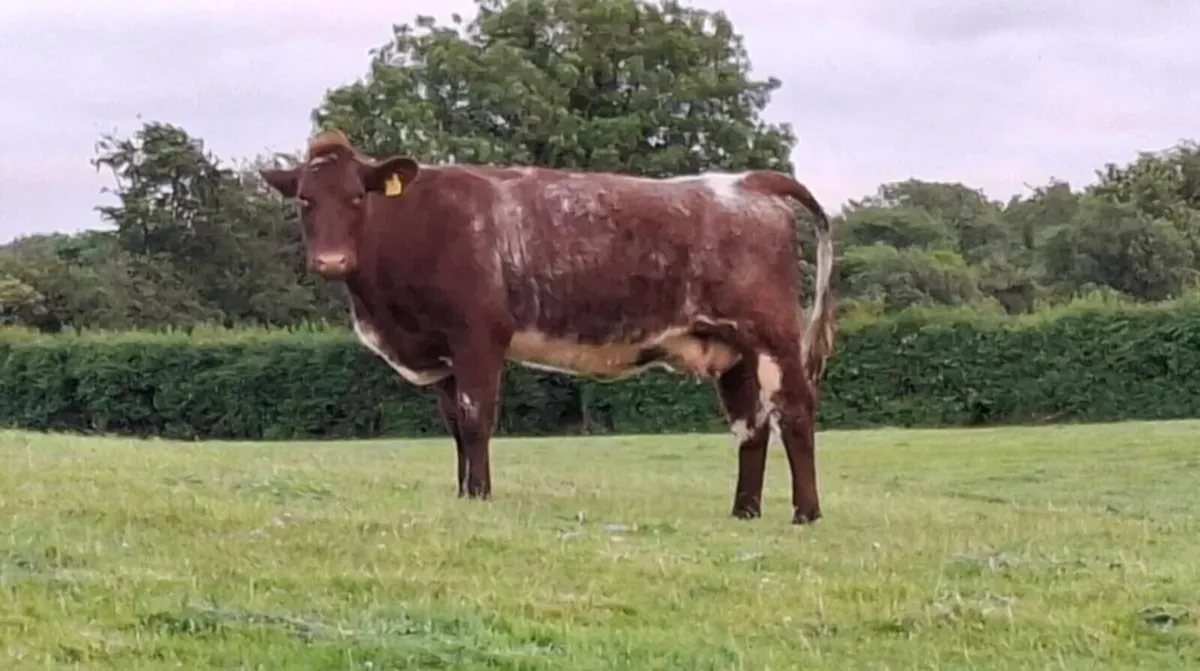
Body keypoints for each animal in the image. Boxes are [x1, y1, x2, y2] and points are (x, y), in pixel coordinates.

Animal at [260, 130, 837, 524]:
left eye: (358, 197)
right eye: (305, 199)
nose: (331, 261)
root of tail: (747, 182)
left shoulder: (478, 337)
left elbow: (477, 419)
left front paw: (481, 494)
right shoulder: (443, 352)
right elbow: (455, 425)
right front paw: (463, 492)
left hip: (774, 335)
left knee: (794, 413)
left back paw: (805, 512)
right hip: (731, 350)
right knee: (751, 425)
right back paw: (745, 511)